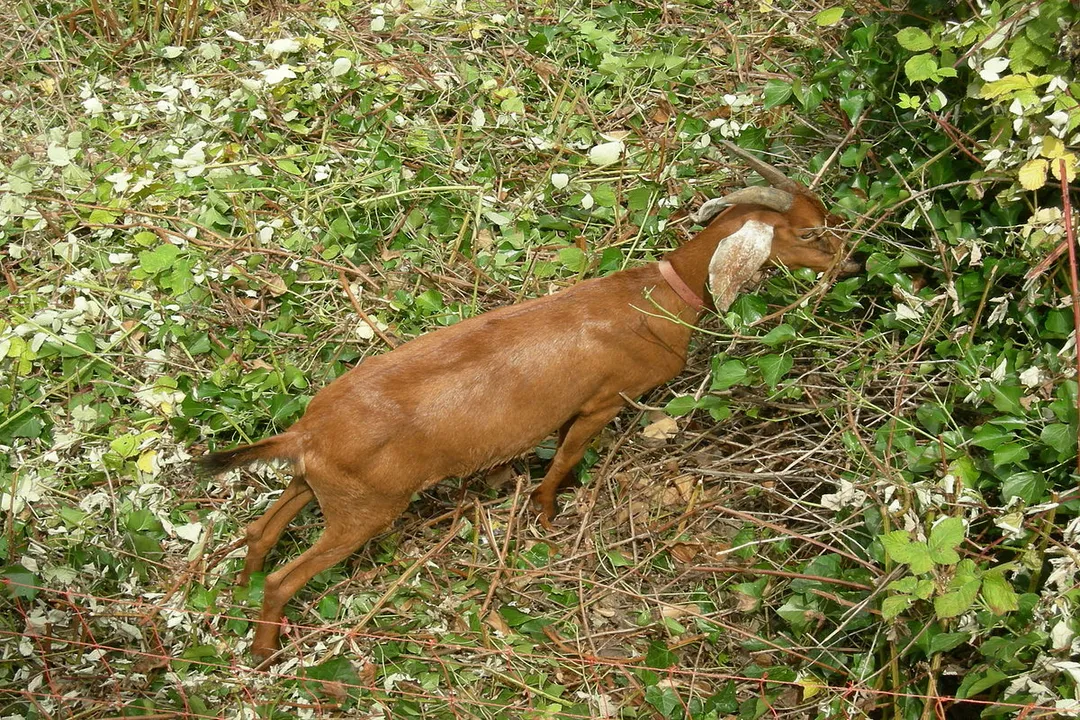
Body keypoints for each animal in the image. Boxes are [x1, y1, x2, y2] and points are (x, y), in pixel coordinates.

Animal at [194, 140, 858, 660]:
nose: (850, 265)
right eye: (809, 232)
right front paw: (544, 513)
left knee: (260, 534)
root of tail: (307, 433)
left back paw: (235, 595)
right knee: (285, 580)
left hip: (317, 485)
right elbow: (565, 458)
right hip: (364, 511)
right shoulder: (604, 401)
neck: (654, 298)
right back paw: (263, 651)